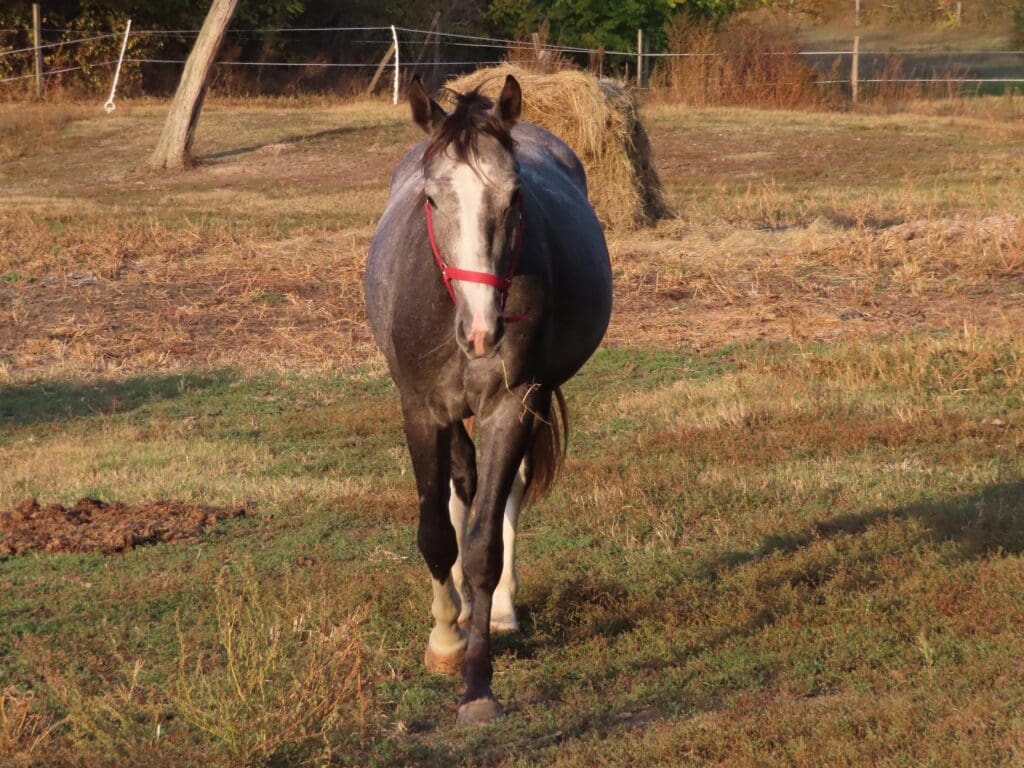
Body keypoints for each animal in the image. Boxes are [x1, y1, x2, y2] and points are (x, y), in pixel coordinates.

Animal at [364, 73, 610, 729]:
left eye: (516, 196)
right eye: (431, 199)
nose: (481, 332)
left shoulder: (513, 404)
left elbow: (482, 547)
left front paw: (477, 683)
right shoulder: (422, 411)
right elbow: (435, 532)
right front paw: (445, 640)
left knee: (505, 495)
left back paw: (496, 611)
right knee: (461, 489)